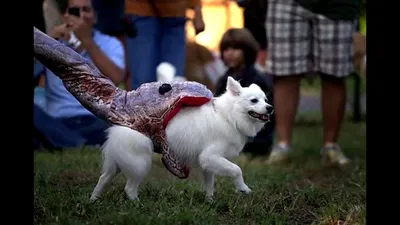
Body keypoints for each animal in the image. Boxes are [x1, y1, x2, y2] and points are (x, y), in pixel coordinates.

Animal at [89, 63, 274, 202]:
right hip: (139, 162)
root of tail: (119, 124)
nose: (270, 108)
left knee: (103, 179)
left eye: (265, 99)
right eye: (254, 101)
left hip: (118, 162)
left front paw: (210, 201)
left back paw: (94, 199)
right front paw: (243, 188)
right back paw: (137, 204)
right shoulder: (211, 156)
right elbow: (237, 169)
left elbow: (209, 184)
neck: (228, 116)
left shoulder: (207, 162)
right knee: (129, 188)